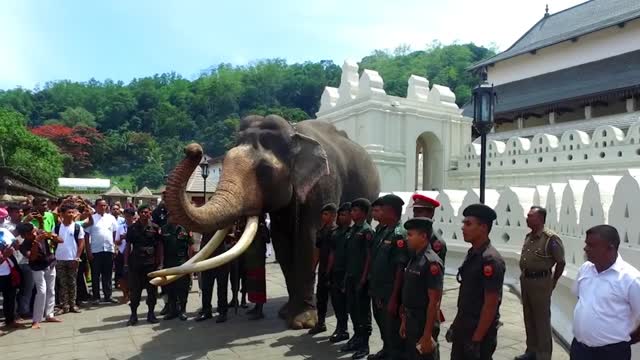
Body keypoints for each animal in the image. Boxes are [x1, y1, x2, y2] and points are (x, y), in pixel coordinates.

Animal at [150, 114, 380, 330]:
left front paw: (302, 322)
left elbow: (309, 241)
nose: (193, 149)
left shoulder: (323, 186)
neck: (294, 133)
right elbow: (282, 244)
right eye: (223, 165)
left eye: (265, 171)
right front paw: (285, 314)